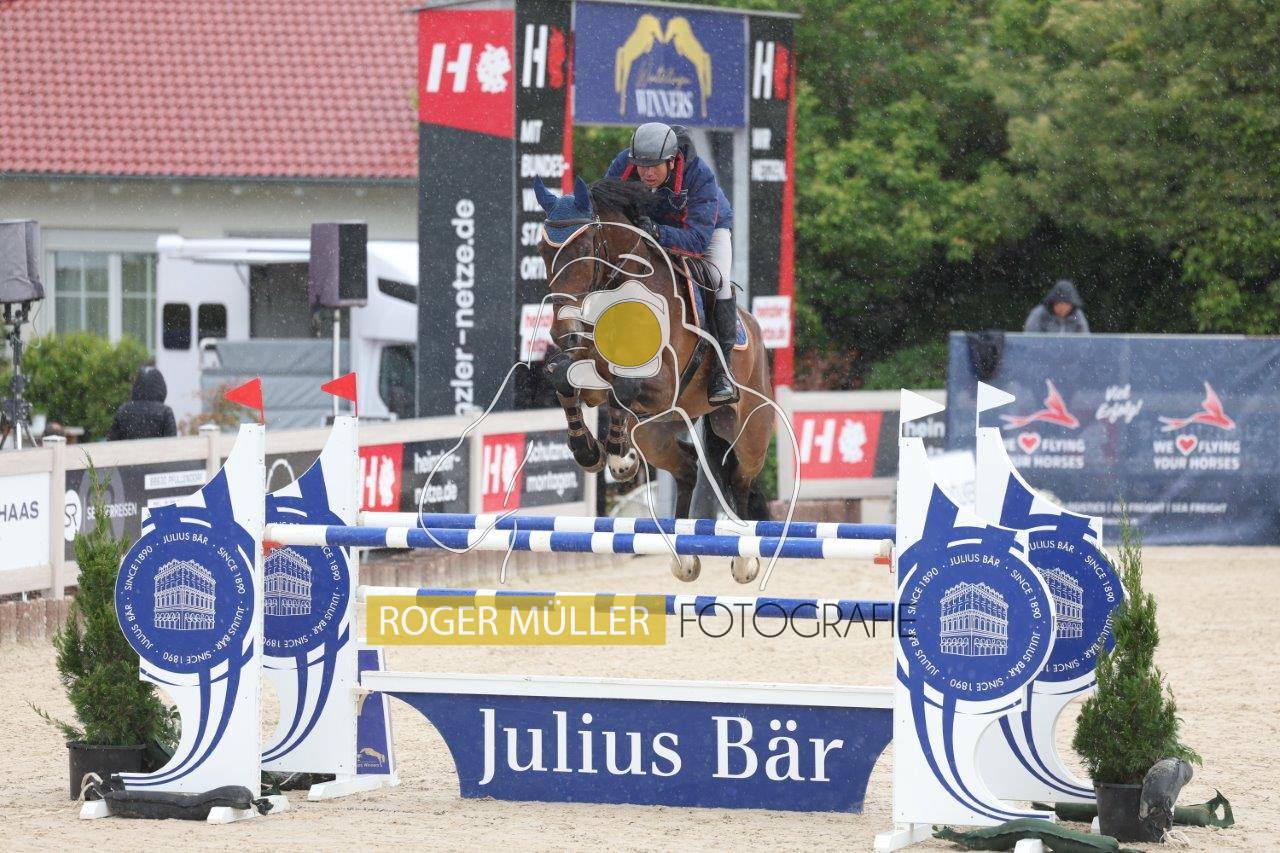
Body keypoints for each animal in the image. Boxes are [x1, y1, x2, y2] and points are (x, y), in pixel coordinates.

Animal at [533, 176, 775, 583]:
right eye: (541, 251)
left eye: (584, 247)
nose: (562, 331)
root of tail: (756, 332)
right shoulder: (586, 365)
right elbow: (563, 376)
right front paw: (589, 452)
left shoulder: (663, 383)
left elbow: (623, 385)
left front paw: (617, 460)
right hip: (654, 434)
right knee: (688, 468)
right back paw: (684, 555)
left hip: (748, 429)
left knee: (741, 477)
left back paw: (744, 559)